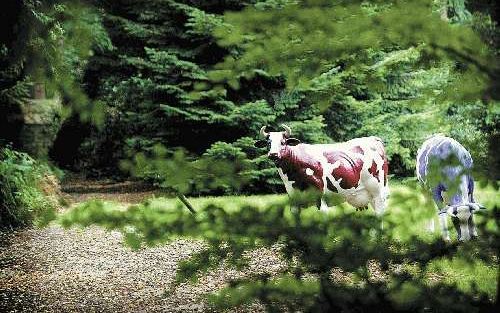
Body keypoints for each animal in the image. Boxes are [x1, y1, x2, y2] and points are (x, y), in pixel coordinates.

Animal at [256, 123, 388, 213]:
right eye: (268, 143)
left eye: (283, 142)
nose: (273, 154)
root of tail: (372, 138)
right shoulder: (293, 200)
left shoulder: (320, 198)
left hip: (378, 191)